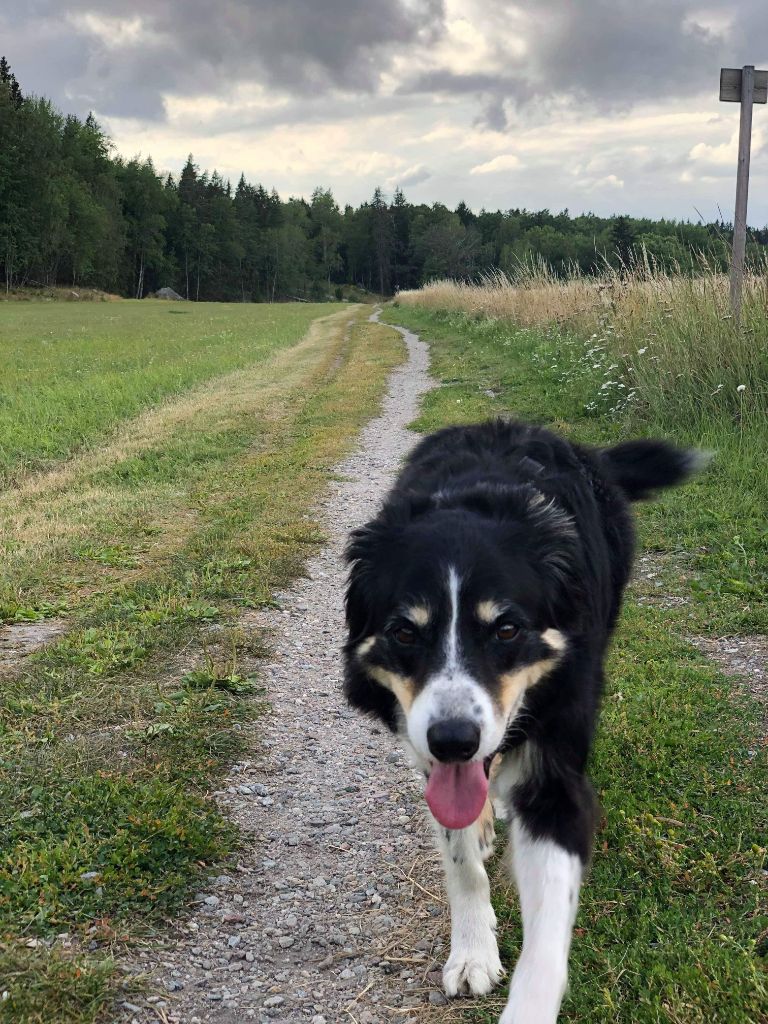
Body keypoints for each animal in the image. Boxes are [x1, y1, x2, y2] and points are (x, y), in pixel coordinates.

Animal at [342, 417, 704, 1024]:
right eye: (404, 632)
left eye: (507, 630)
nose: (454, 742)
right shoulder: (425, 748)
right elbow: (459, 854)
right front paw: (472, 950)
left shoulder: (556, 773)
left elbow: (549, 930)